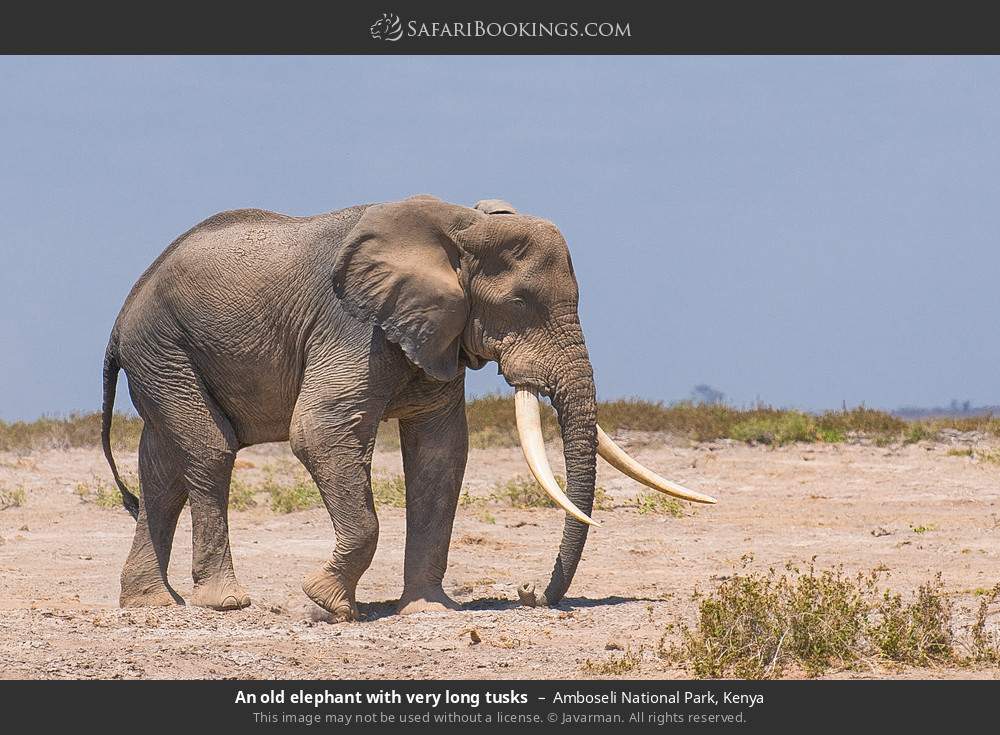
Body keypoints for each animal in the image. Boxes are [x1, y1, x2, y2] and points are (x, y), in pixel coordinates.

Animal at [101, 196, 712, 620]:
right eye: (520, 302)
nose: (532, 593)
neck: (459, 224)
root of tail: (121, 316)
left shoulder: (438, 333)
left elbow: (442, 453)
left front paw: (427, 611)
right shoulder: (354, 327)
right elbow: (319, 431)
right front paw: (326, 605)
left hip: (163, 359)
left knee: (161, 472)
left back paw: (152, 604)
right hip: (163, 347)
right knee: (210, 451)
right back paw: (223, 603)